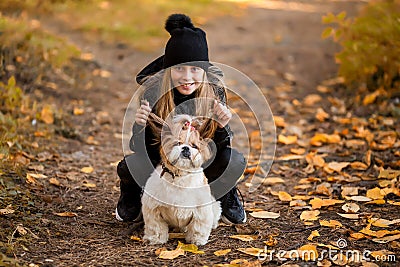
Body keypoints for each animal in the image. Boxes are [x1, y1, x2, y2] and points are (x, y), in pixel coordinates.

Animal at [141, 114, 222, 246]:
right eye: (177, 143)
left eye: (194, 146)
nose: (185, 148)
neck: (180, 176)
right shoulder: (153, 208)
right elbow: (156, 226)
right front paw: (156, 239)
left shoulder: (201, 210)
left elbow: (198, 226)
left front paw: (196, 240)